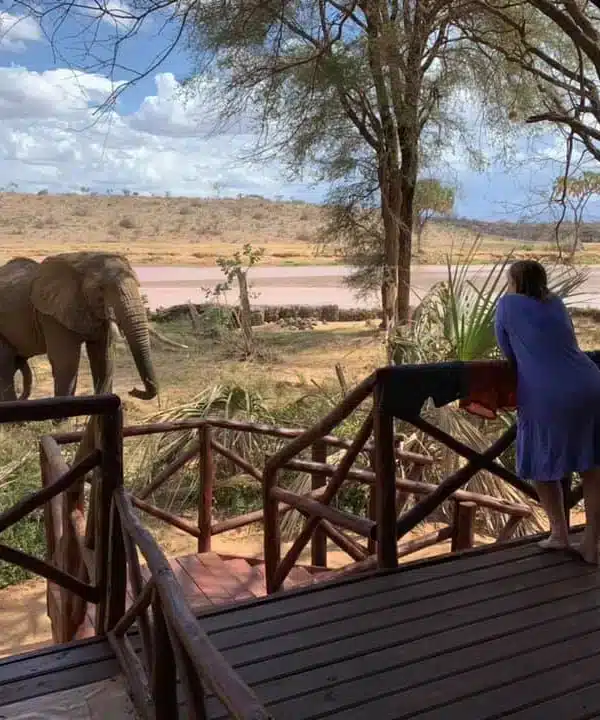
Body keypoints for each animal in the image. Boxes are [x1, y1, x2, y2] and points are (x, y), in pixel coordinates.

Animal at [0, 252, 158, 402]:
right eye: (101, 289)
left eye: (138, 285)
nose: (133, 390)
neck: (83, 260)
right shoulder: (52, 314)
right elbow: (66, 364)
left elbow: (104, 360)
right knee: (6, 365)